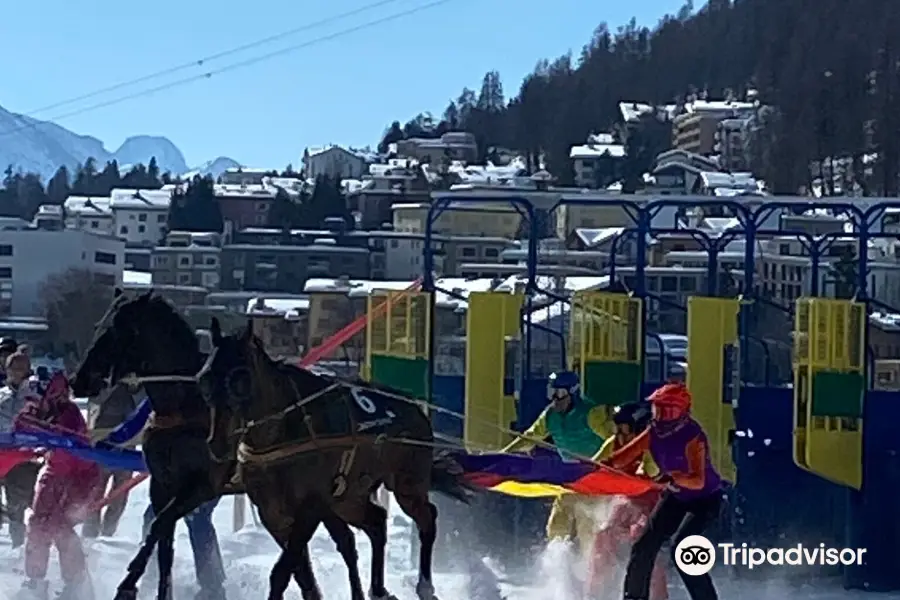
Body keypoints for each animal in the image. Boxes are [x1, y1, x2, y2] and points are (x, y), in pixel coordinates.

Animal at [67, 290, 366, 600]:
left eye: (121, 330)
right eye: (99, 326)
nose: (79, 380)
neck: (185, 405)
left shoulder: (203, 485)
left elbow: (160, 525)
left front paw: (128, 584)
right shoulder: (162, 485)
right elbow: (163, 541)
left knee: (343, 543)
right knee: (339, 541)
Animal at [199, 316, 478, 600]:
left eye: (240, 378)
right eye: (205, 378)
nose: (217, 443)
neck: (283, 433)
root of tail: (416, 410)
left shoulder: (311, 506)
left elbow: (283, 572)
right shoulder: (272, 513)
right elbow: (299, 570)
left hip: (407, 484)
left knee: (426, 518)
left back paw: (424, 586)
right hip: (349, 498)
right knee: (376, 522)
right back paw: (378, 589)